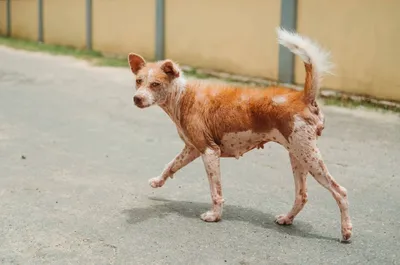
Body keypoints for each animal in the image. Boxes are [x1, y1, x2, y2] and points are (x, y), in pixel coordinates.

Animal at [128, 27, 354, 240]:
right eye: (138, 81)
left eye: (155, 84)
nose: (137, 99)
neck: (183, 97)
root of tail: (303, 96)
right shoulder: (192, 149)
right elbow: (171, 165)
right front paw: (158, 181)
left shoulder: (210, 152)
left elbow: (216, 192)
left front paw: (214, 216)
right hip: (298, 156)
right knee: (302, 195)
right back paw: (287, 218)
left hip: (309, 156)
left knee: (340, 191)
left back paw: (346, 231)